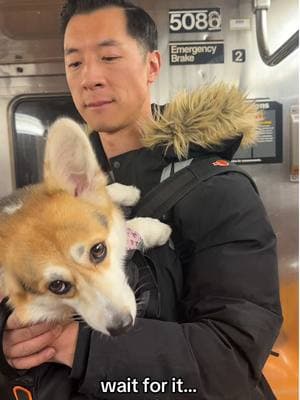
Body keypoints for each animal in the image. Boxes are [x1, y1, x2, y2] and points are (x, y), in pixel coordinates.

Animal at [0, 117, 171, 336]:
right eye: (58, 286)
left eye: (98, 250)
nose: (121, 327)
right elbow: (128, 228)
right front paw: (154, 229)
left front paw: (126, 192)